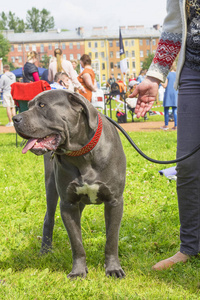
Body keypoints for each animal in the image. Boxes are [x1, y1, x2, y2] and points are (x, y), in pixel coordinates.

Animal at [12, 89, 126, 278]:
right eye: (28, 105)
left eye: (42, 105)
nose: (15, 118)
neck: (81, 153)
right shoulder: (68, 204)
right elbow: (76, 242)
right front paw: (78, 271)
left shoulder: (114, 202)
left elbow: (111, 239)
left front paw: (113, 268)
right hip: (51, 188)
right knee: (48, 219)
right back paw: (45, 250)